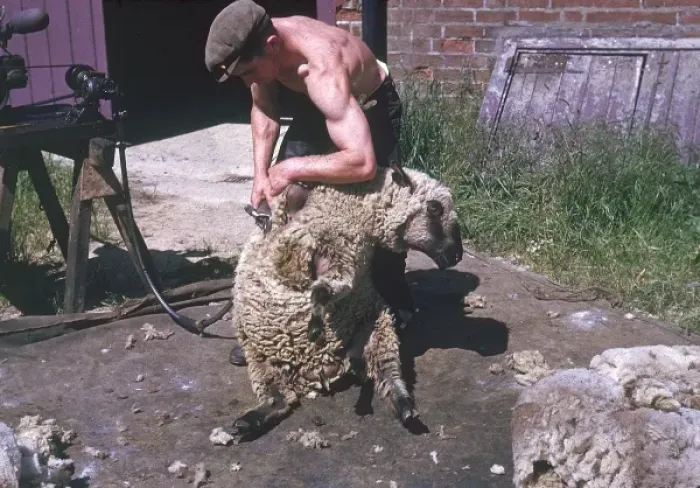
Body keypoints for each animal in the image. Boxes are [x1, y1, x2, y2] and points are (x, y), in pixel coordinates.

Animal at [229, 165, 463, 441]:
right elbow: (312, 279)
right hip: (258, 354)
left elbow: (328, 288)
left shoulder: (345, 257)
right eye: (434, 208)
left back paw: (402, 407)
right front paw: (315, 321)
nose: (456, 256)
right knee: (279, 398)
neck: (351, 209)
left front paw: (316, 320)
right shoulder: (326, 247)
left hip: (379, 326)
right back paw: (248, 422)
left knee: (386, 373)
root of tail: (317, 371)